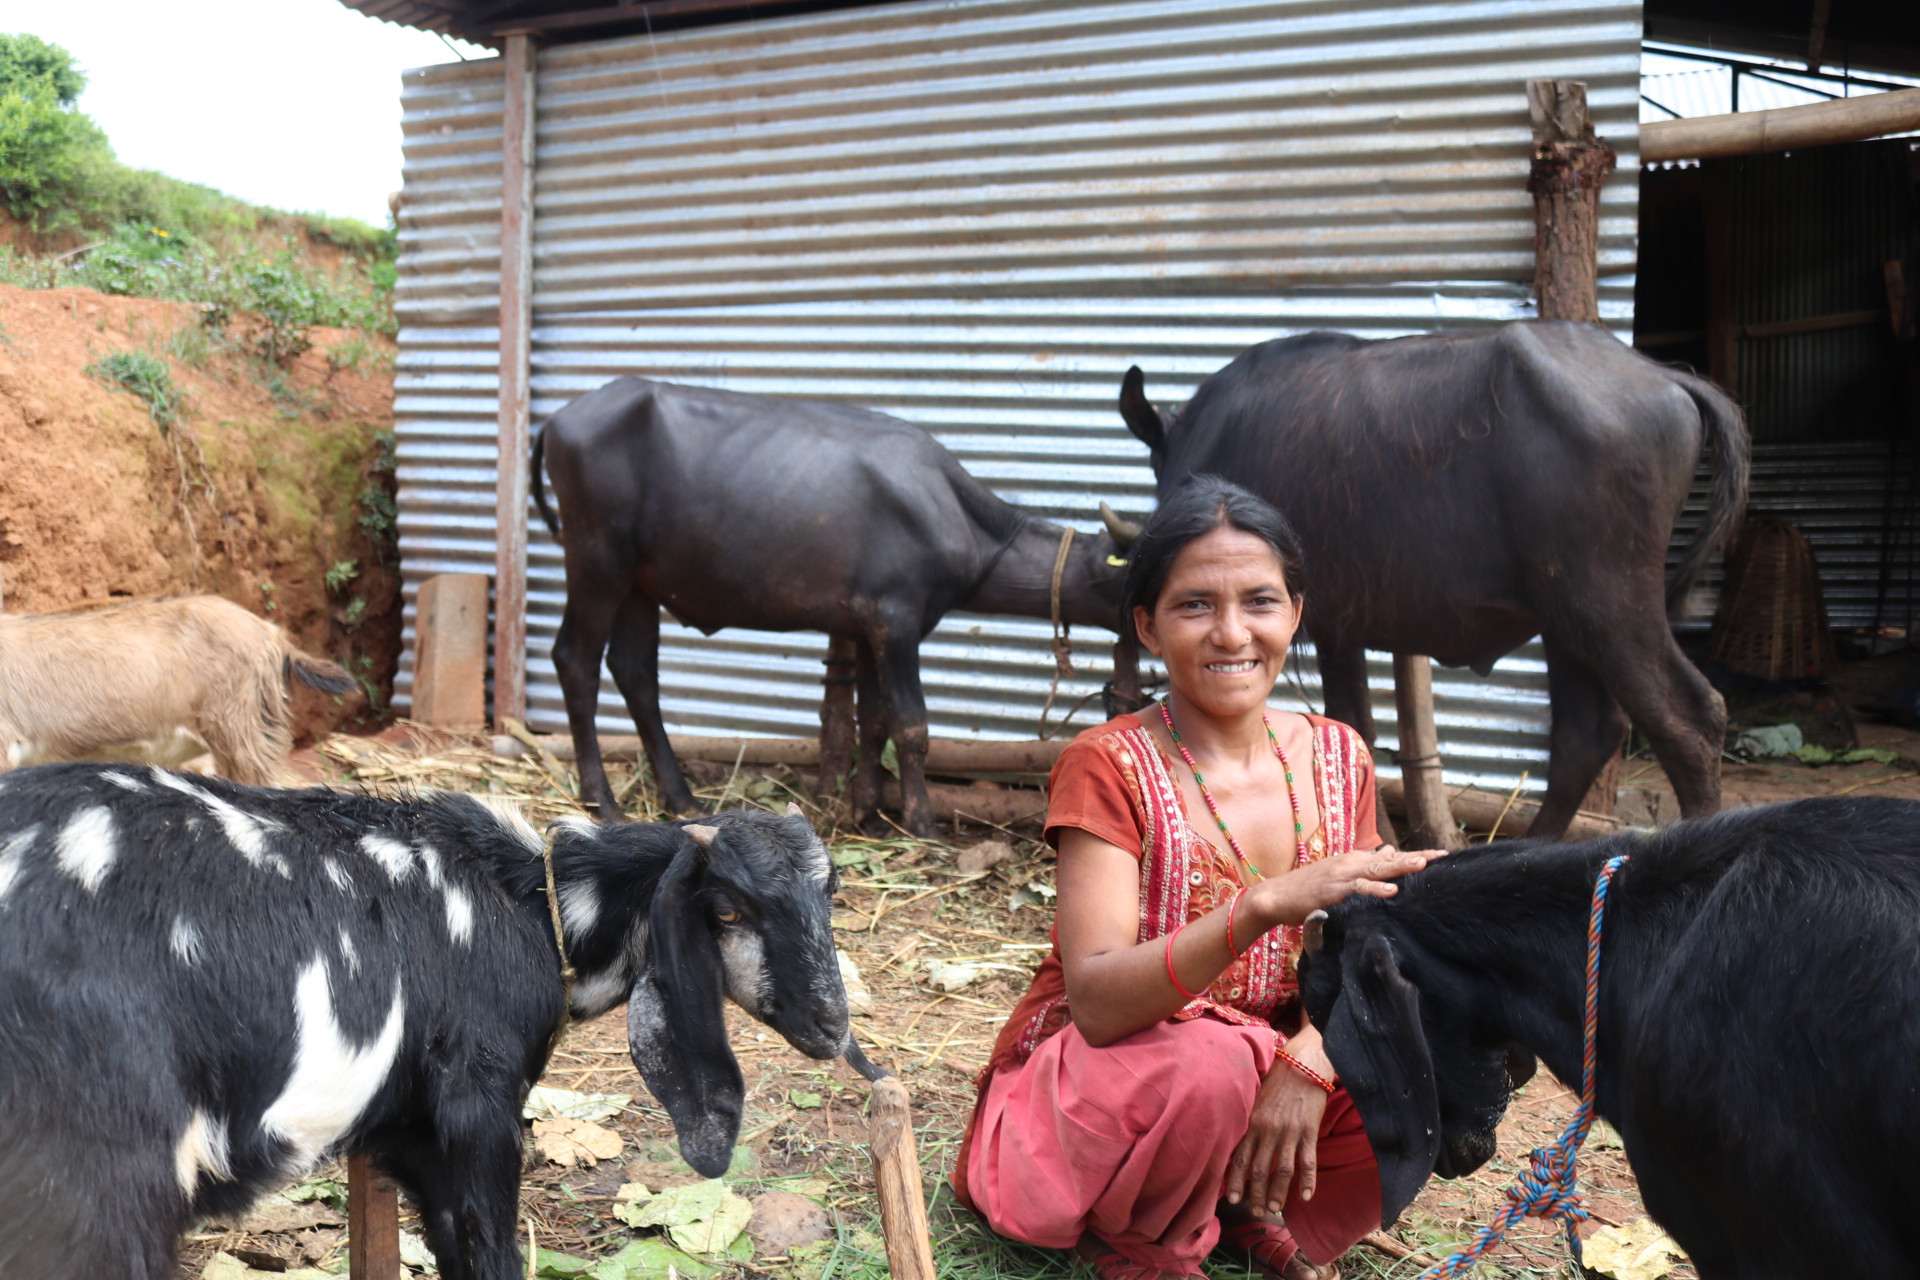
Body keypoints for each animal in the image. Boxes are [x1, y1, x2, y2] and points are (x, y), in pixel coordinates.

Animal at [0, 767, 864, 1280]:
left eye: (831, 893)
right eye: (727, 908)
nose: (830, 1023)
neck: (529, 902)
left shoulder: (400, 1125)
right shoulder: (476, 1107)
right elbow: (483, 1245)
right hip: (102, 1173)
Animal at [529, 376, 1121, 836]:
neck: (960, 518)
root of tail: (559, 418)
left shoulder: (864, 628)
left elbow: (873, 722)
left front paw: (870, 816)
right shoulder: (896, 621)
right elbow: (911, 725)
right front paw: (921, 824)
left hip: (640, 584)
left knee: (635, 672)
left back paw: (680, 797)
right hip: (597, 559)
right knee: (576, 660)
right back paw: (602, 800)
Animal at [1121, 326, 1751, 836]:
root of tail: (1663, 375)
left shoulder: (1326, 622)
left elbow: (1350, 726)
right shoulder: (1341, 628)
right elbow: (1355, 728)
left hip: (1609, 603)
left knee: (1689, 720)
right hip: (1565, 617)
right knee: (1586, 733)